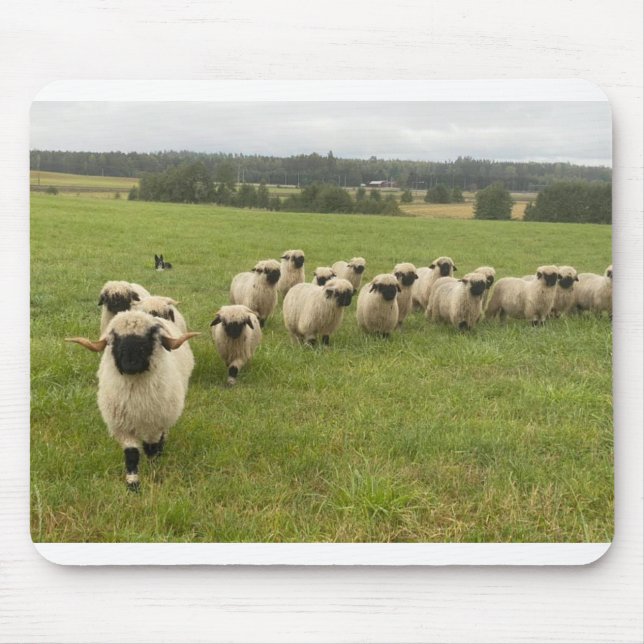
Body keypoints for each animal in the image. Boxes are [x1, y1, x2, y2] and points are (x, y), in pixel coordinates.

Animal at [66, 310, 199, 490]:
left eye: (150, 336)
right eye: (115, 338)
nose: (130, 363)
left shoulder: (153, 425)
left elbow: (151, 449)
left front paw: (153, 471)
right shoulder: (123, 427)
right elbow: (131, 454)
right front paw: (133, 484)